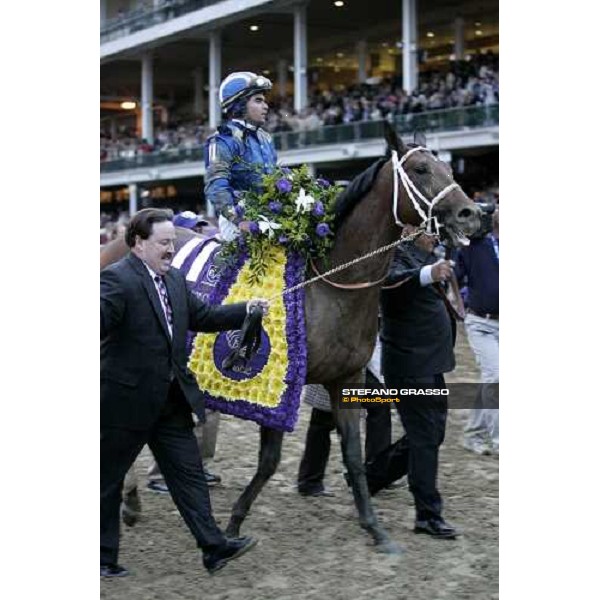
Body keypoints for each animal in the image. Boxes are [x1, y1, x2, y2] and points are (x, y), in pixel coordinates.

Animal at [101, 120, 480, 552]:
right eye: (420, 169)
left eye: (447, 167)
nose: (471, 213)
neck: (329, 283)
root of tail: (117, 240)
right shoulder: (275, 384)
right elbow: (269, 462)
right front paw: (234, 523)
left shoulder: (345, 379)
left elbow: (353, 455)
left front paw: (375, 528)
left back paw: (132, 498)